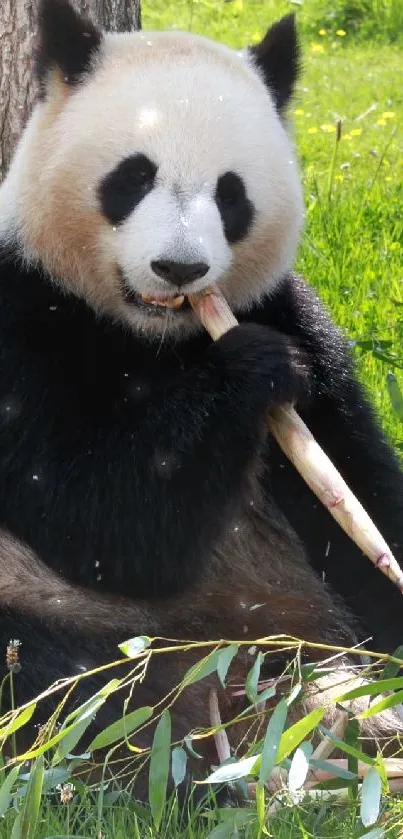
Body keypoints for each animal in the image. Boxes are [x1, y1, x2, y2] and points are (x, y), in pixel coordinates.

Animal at [0, 0, 403, 796]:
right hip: (59, 613)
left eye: (230, 192)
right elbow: (102, 522)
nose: (179, 268)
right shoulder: (21, 313)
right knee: (58, 682)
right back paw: (176, 753)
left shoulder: (289, 313)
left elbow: (356, 495)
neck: (156, 337)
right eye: (132, 177)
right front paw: (249, 371)